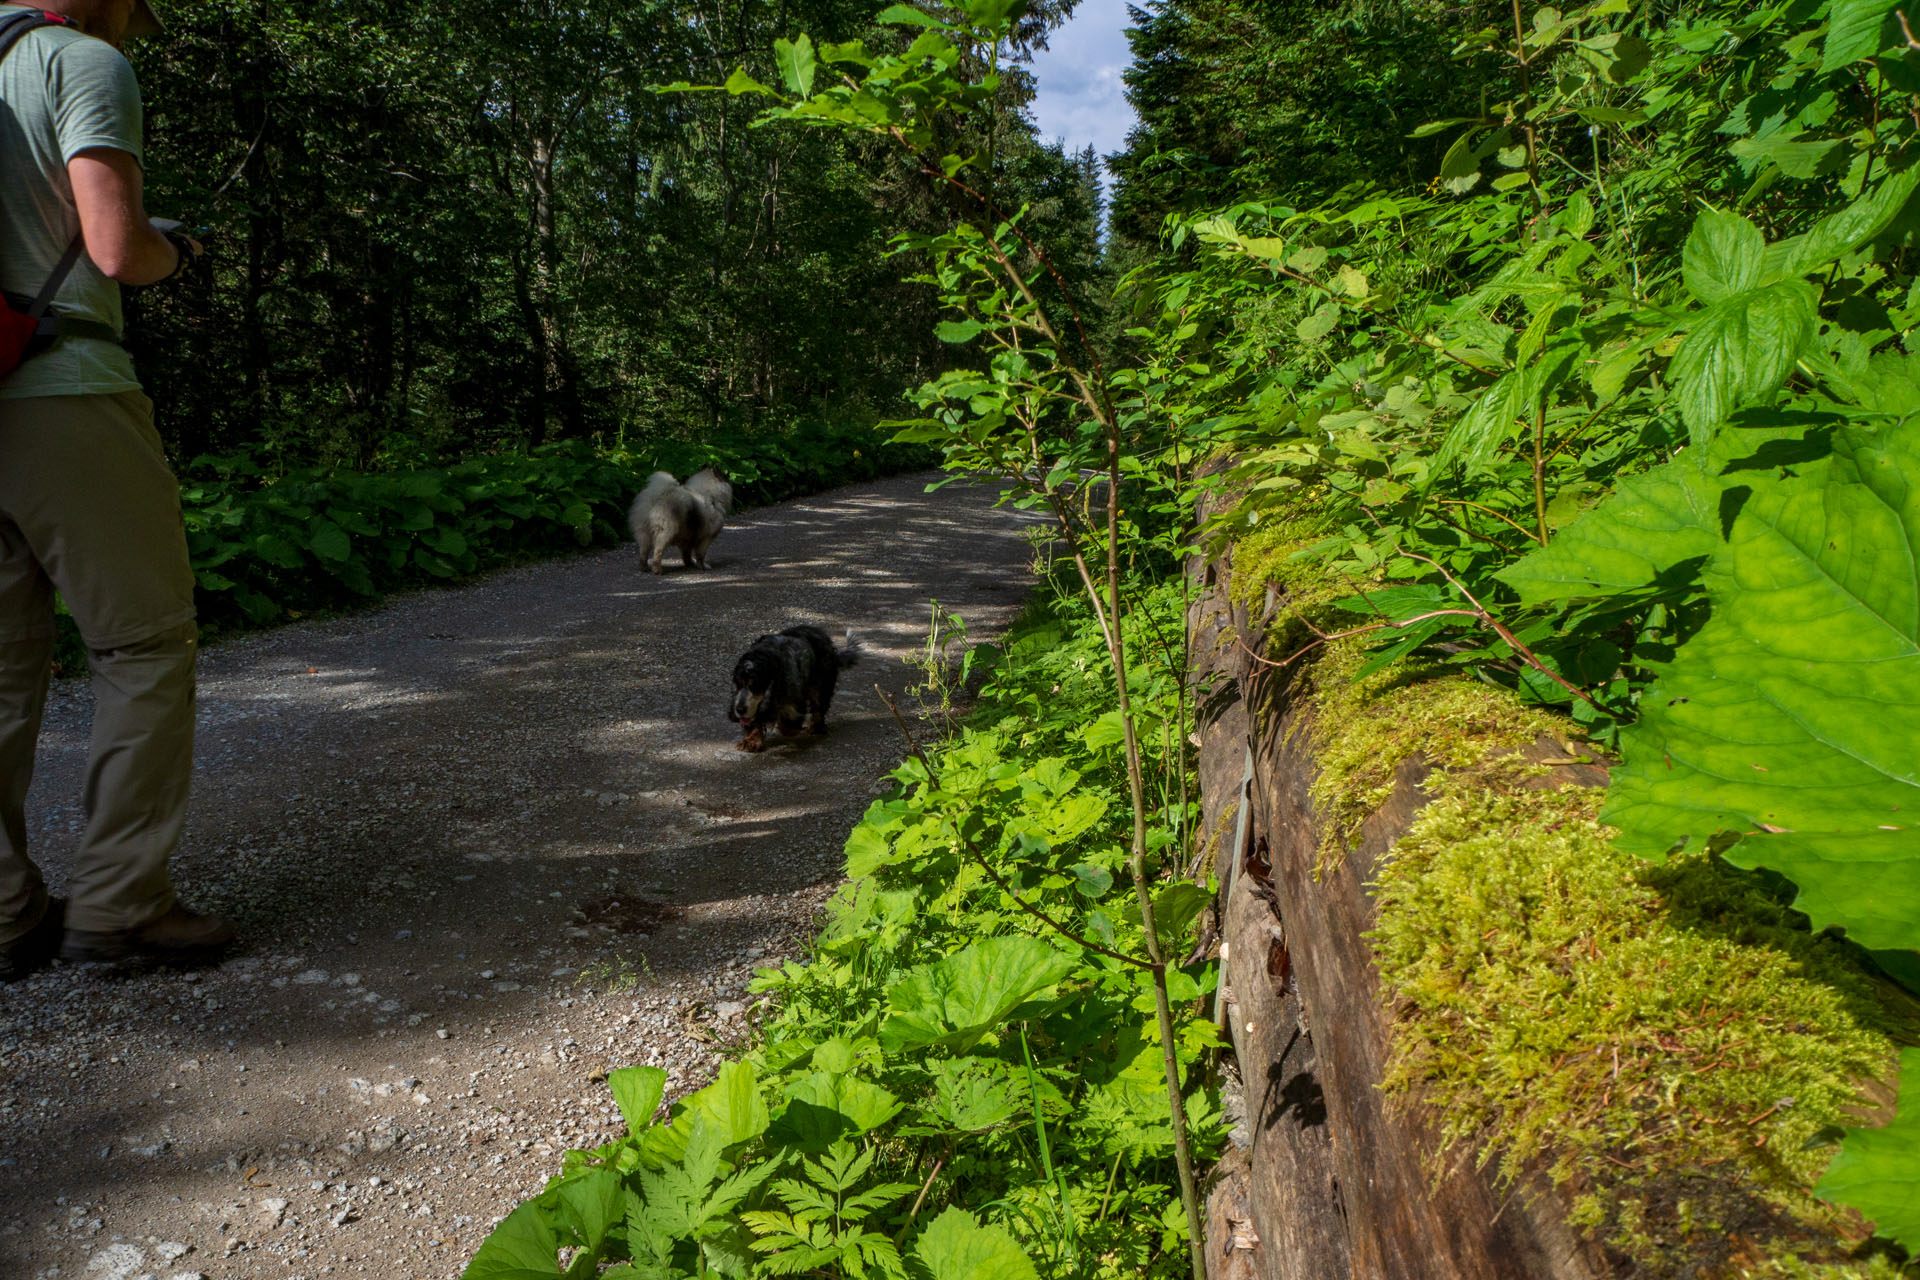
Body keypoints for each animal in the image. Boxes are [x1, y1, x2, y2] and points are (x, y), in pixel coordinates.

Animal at [725, 629, 864, 752]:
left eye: (755, 685)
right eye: (737, 684)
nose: (739, 710)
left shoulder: (794, 694)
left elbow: (790, 718)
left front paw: (787, 727)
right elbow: (755, 720)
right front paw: (750, 742)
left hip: (821, 684)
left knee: (819, 707)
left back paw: (815, 727)